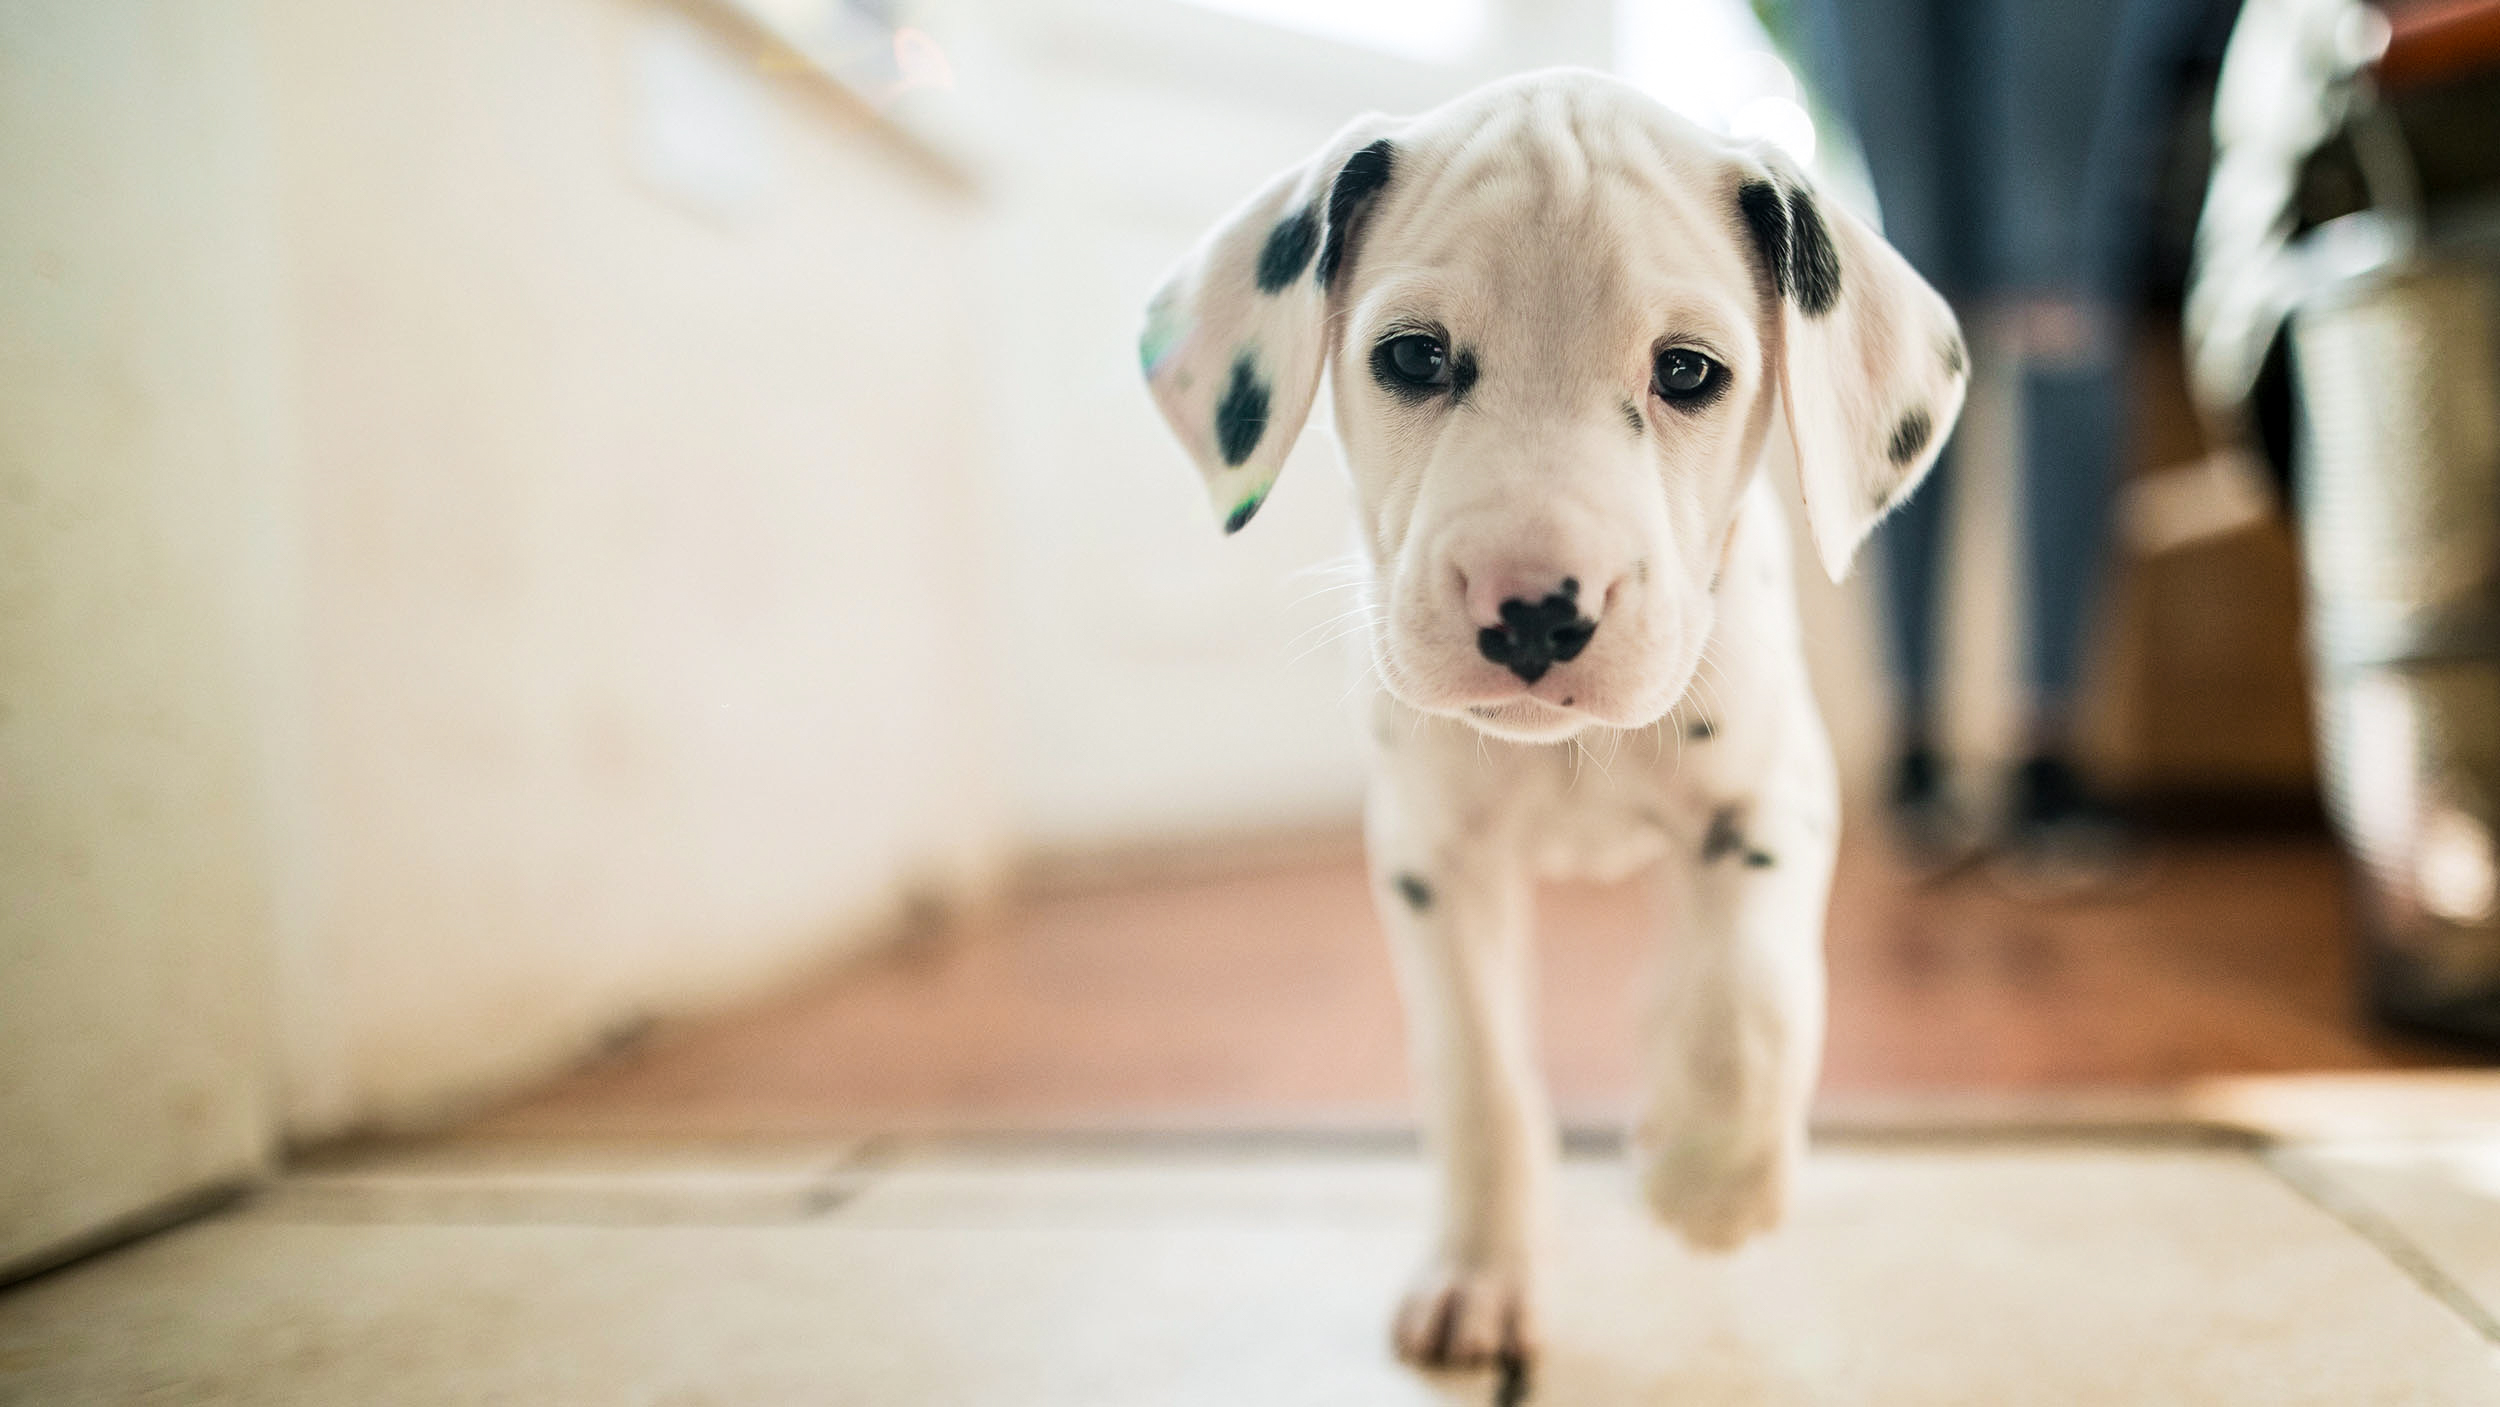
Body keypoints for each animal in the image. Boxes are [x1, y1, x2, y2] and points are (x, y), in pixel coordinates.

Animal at [1140, 71, 1970, 1369]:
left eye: (1686, 374)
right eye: (1413, 357)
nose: (1533, 608)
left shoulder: (1774, 797)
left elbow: (1750, 1000)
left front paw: (1715, 1179)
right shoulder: (1433, 863)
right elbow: (1478, 1076)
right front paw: (1481, 1271)